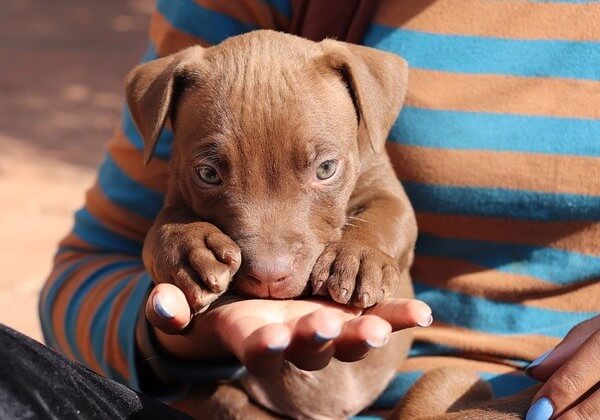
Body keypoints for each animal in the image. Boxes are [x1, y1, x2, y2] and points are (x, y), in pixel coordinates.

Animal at [125, 30, 418, 420]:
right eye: (208, 173)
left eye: (326, 168)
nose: (268, 276)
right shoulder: (176, 191)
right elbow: (160, 228)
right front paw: (189, 250)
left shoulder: (387, 189)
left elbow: (388, 219)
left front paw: (357, 260)